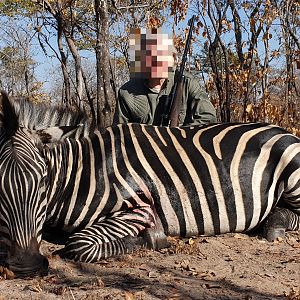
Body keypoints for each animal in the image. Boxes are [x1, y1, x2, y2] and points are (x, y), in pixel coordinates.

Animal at [0, 92, 298, 276]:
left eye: (43, 180)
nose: (26, 266)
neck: (85, 172)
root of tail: (284, 130)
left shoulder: (140, 209)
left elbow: (79, 244)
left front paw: (152, 239)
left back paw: (274, 225)